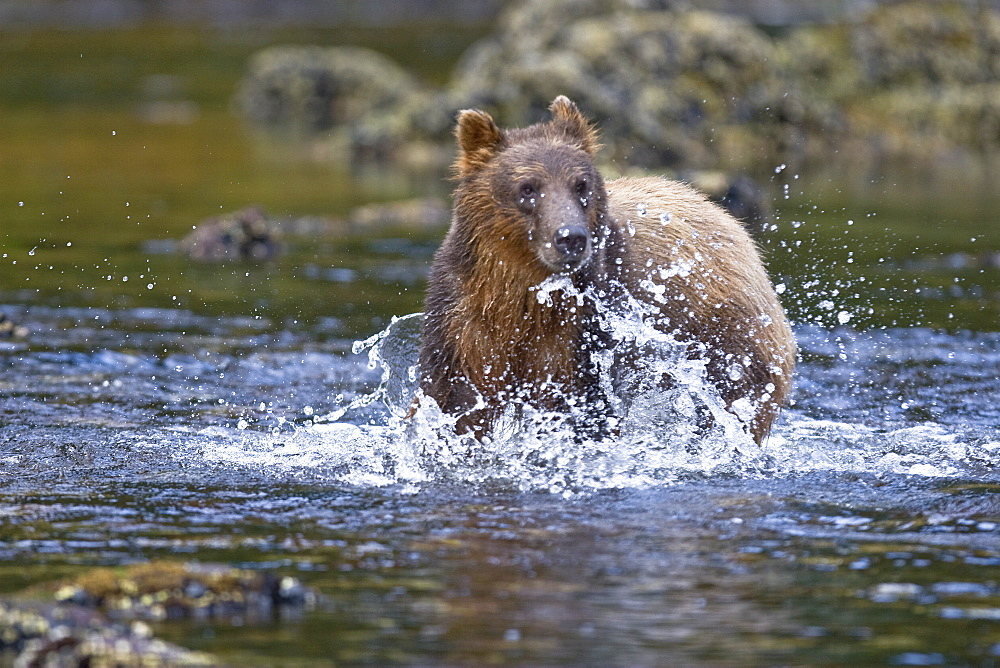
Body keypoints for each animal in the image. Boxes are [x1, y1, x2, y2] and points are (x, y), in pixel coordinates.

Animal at [416, 95, 796, 444]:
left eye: (580, 184)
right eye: (527, 187)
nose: (570, 237)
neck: (521, 289)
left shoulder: (580, 331)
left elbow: (580, 405)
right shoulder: (463, 323)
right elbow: (454, 401)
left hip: (729, 339)